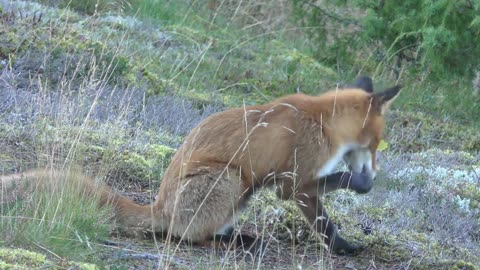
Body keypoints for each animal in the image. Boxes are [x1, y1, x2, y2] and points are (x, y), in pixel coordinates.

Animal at [0, 76, 402, 255]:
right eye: (377, 144)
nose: (375, 172)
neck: (321, 121)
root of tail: (159, 206)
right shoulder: (296, 184)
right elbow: (324, 222)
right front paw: (345, 247)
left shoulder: (293, 183)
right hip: (230, 179)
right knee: (186, 235)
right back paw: (230, 243)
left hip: (243, 191)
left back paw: (237, 237)